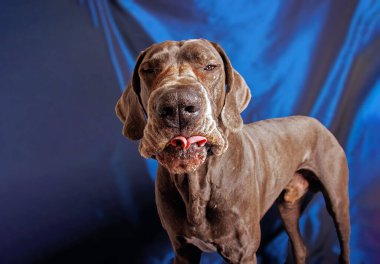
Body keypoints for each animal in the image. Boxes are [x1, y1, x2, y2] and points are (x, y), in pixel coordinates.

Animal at [116, 38, 350, 262]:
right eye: (148, 70)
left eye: (210, 66)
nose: (177, 104)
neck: (198, 183)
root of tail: (316, 121)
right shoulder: (182, 250)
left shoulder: (242, 252)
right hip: (288, 207)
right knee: (300, 247)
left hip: (338, 202)